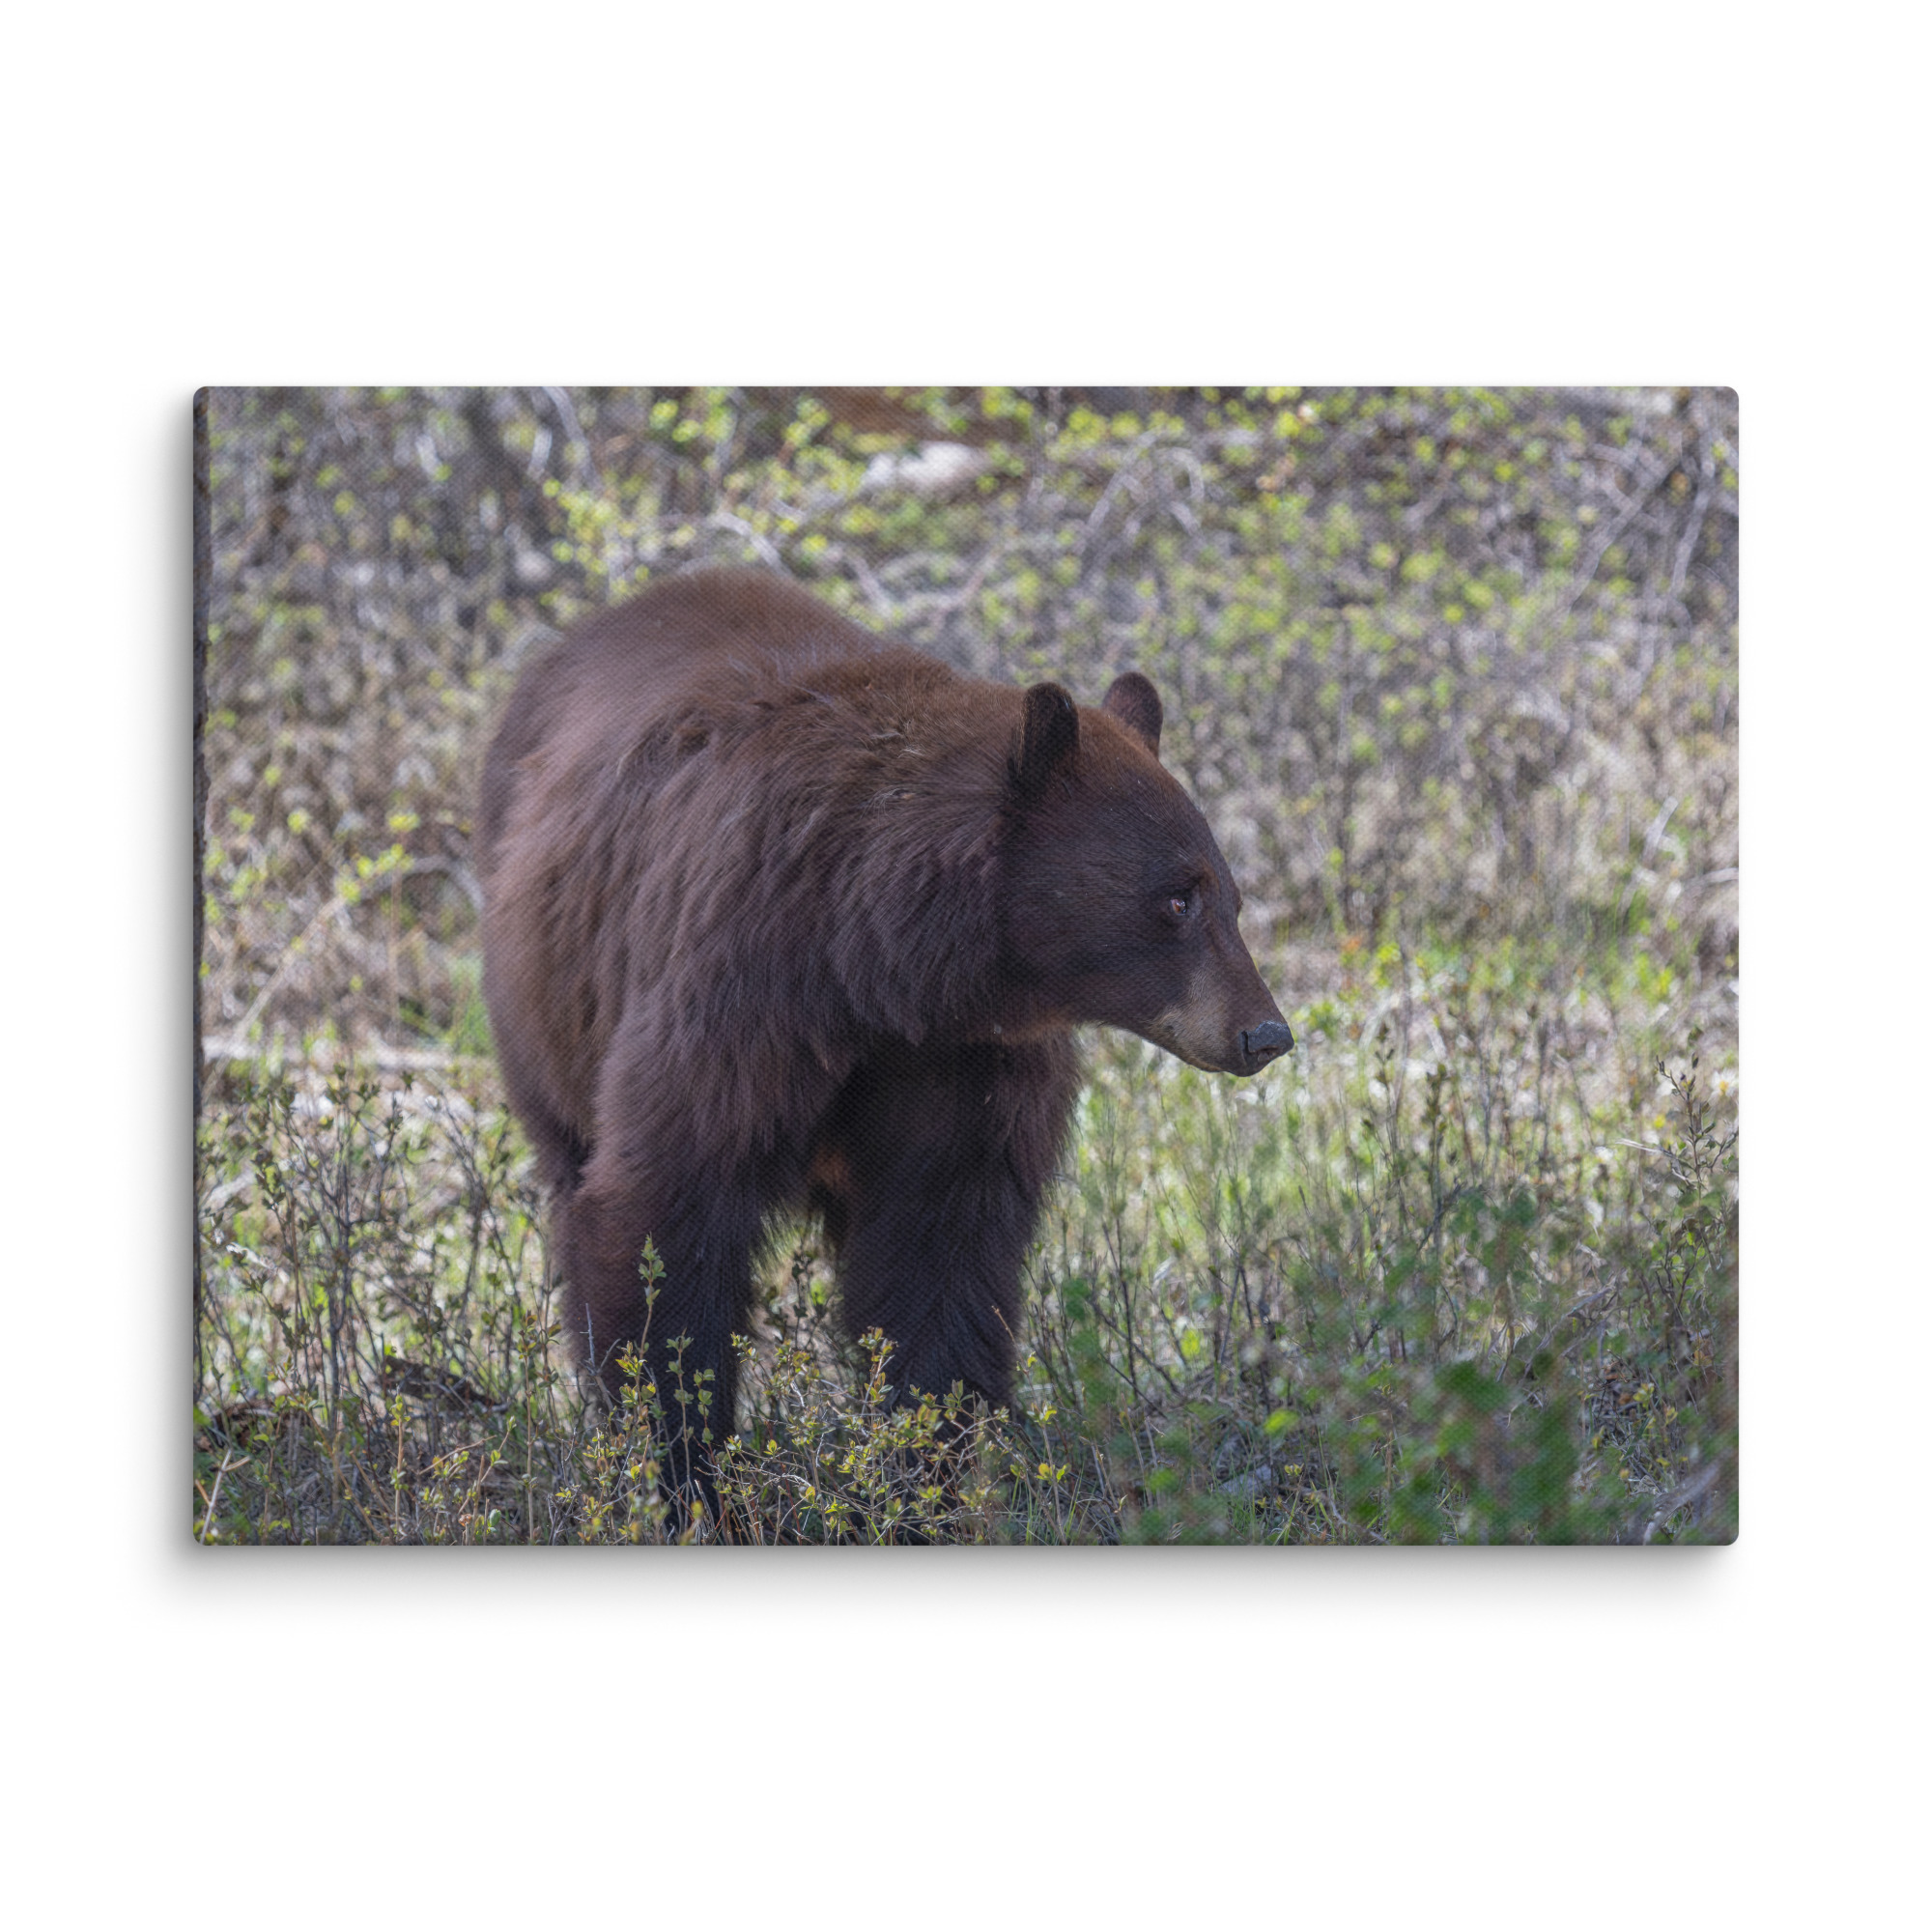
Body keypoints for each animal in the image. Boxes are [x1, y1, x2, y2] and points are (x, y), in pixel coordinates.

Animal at [477, 566, 1290, 1501]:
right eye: (1177, 898)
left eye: (1230, 896)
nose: (1265, 1033)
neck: (878, 965)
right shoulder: (739, 991)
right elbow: (667, 1209)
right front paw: (688, 1472)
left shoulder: (965, 1062)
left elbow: (940, 1253)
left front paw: (917, 1476)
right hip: (545, 1008)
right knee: (572, 1172)